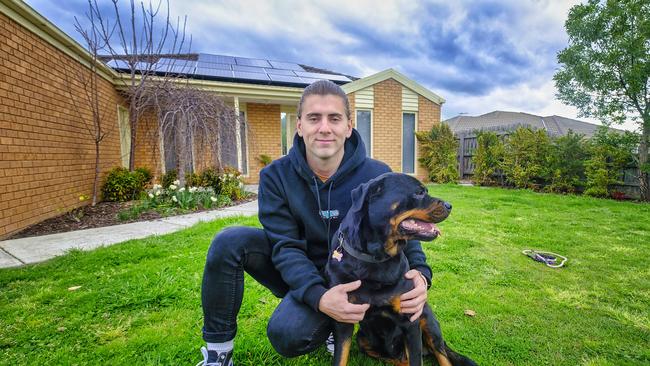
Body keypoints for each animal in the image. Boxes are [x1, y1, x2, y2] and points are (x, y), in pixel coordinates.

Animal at [326, 172, 474, 366]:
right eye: (419, 192)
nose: (449, 205)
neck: (376, 258)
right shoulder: (343, 319)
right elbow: (340, 356)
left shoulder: (410, 321)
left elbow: (417, 359)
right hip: (363, 340)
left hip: (428, 321)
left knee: (441, 355)